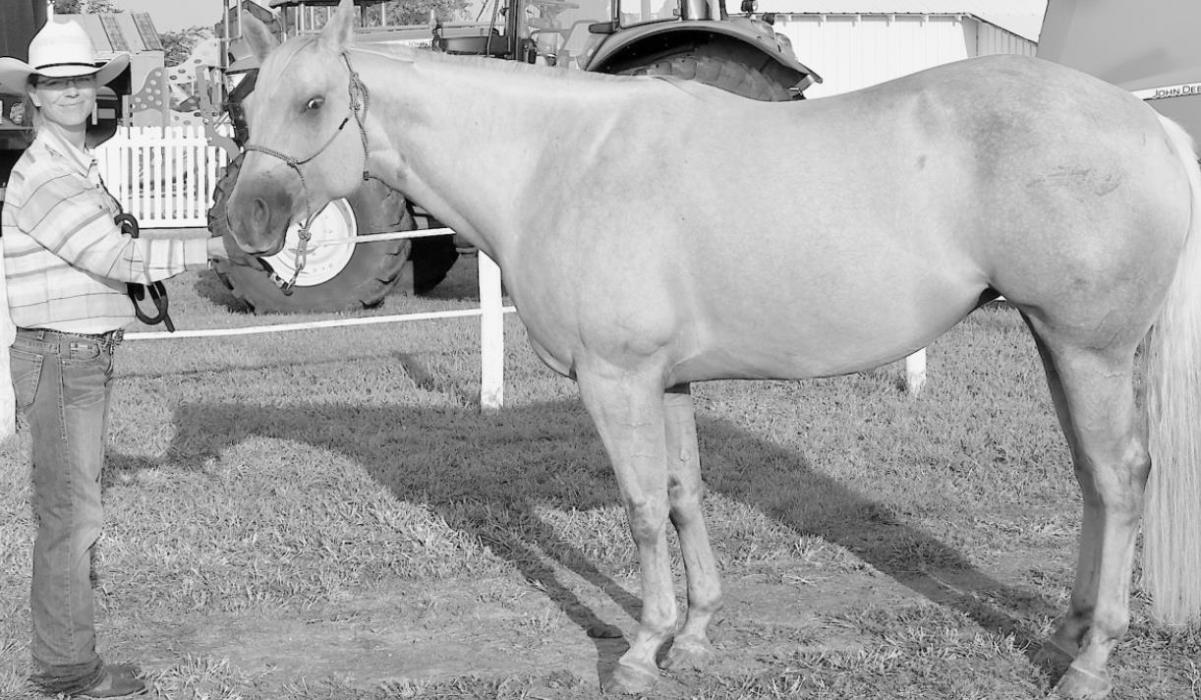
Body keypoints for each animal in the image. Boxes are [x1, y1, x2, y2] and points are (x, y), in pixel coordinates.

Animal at [224, 1, 1201, 696]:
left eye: (314, 102)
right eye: (246, 106)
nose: (245, 221)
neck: (557, 162)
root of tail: (1150, 125)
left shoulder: (615, 380)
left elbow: (640, 509)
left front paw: (641, 650)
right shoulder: (667, 383)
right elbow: (685, 497)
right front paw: (694, 635)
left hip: (1090, 348)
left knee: (1119, 480)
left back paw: (1089, 664)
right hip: (1058, 343)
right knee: (1091, 481)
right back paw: (1069, 632)